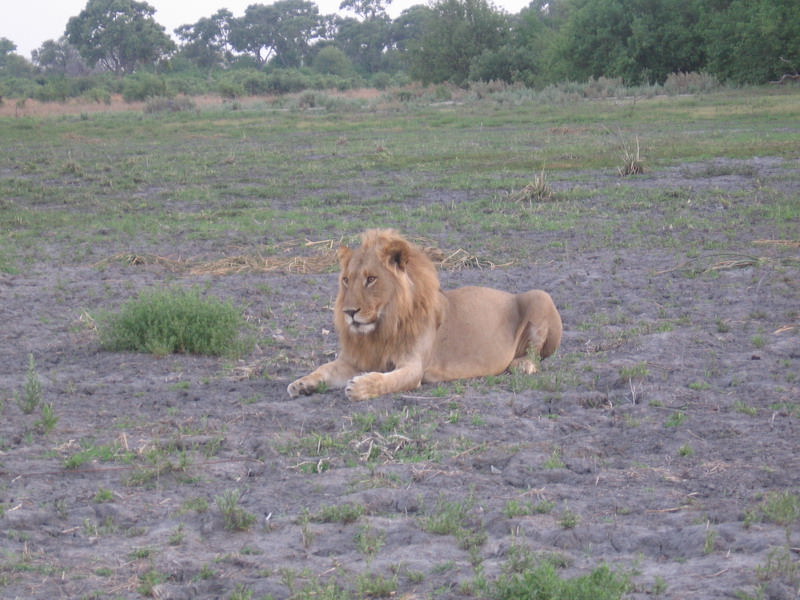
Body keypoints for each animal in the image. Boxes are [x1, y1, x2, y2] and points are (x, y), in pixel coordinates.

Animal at [288, 230, 564, 404]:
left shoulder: (414, 367)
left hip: (539, 295)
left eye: (371, 279)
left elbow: (386, 381)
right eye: (346, 280)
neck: (380, 329)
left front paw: (360, 386)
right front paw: (302, 383)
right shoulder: (355, 360)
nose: (349, 312)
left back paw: (522, 365)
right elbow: (324, 368)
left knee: (537, 355)